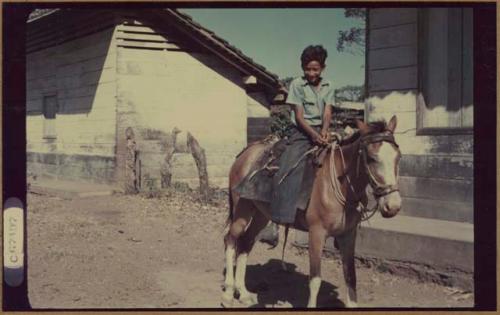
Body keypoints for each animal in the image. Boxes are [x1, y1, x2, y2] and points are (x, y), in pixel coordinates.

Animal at [223, 115, 402, 308]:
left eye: (398, 157)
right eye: (371, 158)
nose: (393, 206)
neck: (337, 183)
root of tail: (245, 153)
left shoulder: (348, 234)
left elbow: (351, 276)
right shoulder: (316, 233)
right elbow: (315, 279)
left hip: (260, 215)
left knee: (245, 243)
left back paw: (243, 293)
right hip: (242, 210)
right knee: (231, 239)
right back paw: (228, 294)